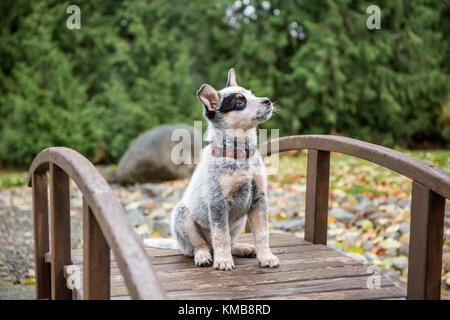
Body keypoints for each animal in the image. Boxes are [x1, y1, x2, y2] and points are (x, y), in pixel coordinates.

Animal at [145, 68, 278, 270]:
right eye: (240, 101)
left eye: (251, 94)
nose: (268, 100)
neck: (239, 156)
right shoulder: (217, 202)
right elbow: (221, 235)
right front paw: (223, 261)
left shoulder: (258, 198)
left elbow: (262, 233)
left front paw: (266, 257)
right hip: (183, 216)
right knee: (200, 245)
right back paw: (204, 256)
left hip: (239, 222)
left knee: (231, 241)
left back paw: (243, 248)